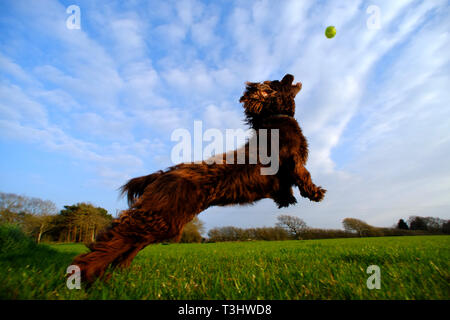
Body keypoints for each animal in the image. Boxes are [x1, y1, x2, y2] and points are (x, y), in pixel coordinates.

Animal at [73, 74, 326, 282]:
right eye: (276, 82)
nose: (289, 73)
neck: (275, 119)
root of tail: (164, 173)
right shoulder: (292, 158)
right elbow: (303, 174)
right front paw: (315, 192)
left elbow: (287, 186)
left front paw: (288, 198)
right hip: (162, 216)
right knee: (119, 235)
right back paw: (87, 272)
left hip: (166, 221)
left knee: (132, 240)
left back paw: (120, 271)